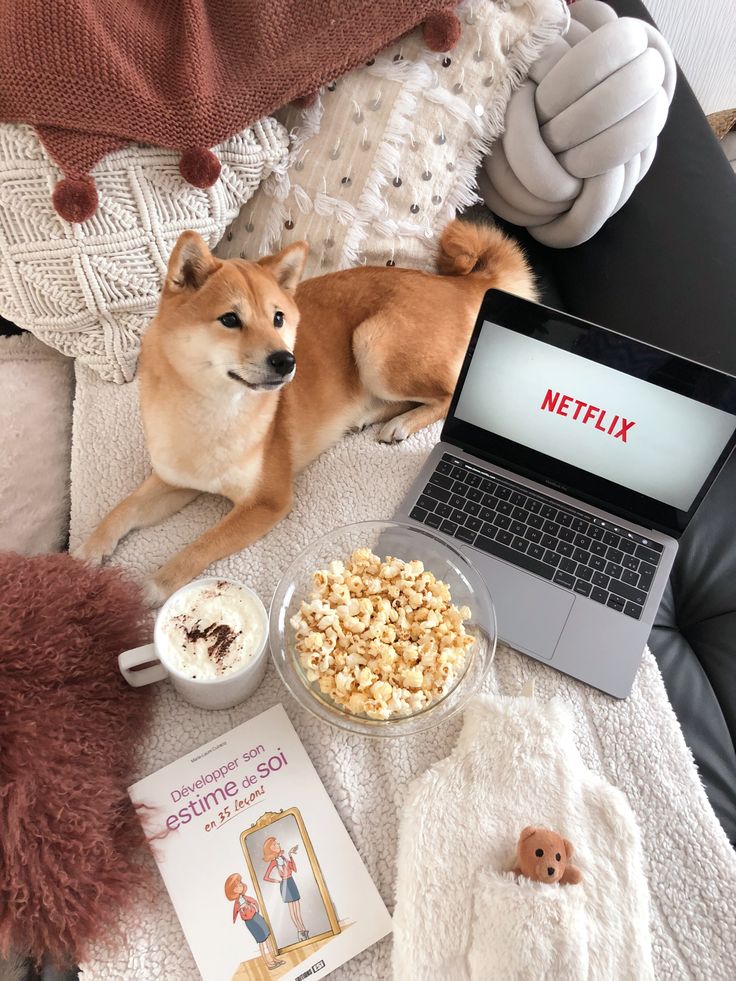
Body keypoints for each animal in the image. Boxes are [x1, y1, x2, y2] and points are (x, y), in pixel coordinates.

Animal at [77, 220, 536, 604]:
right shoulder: (175, 480)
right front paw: (87, 552)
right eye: (230, 319)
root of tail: (458, 283)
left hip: (375, 345)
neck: (212, 410)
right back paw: (374, 415)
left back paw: (400, 423)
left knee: (447, 393)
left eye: (278, 318)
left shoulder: (267, 502)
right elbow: (121, 511)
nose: (286, 360)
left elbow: (200, 546)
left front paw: (155, 584)